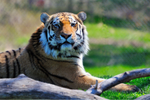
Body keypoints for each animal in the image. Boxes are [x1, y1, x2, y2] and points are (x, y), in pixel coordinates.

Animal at [0, 11, 139, 91]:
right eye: (56, 25)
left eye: (72, 24)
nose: (66, 35)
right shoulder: (75, 78)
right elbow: (102, 82)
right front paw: (132, 87)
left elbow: (104, 79)